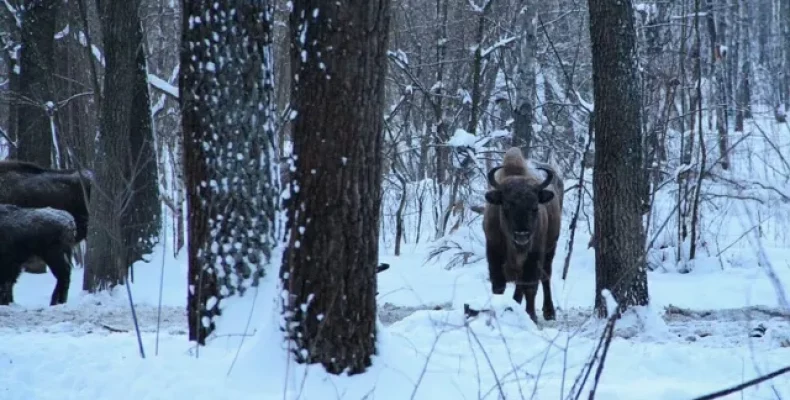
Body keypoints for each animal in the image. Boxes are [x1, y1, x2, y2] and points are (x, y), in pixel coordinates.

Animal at [482, 146, 564, 322]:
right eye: (506, 206)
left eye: (535, 207)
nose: (522, 235)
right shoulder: (493, 253)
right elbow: (498, 286)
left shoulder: (534, 256)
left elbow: (530, 286)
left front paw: (531, 316)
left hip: (550, 249)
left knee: (545, 277)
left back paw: (549, 312)